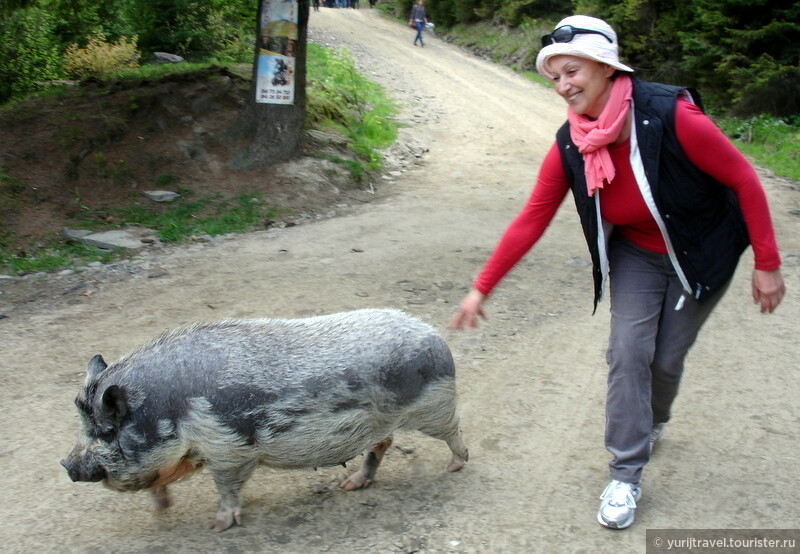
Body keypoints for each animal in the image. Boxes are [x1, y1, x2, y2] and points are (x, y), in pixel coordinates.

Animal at [61, 308, 468, 528]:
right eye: (84, 426)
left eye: (106, 429)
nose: (68, 463)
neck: (171, 411)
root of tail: (433, 335)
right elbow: (163, 480)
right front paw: (161, 509)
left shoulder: (230, 448)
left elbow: (226, 488)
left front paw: (218, 526)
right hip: (382, 422)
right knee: (383, 443)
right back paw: (351, 484)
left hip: (435, 405)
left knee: (454, 430)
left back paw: (455, 466)